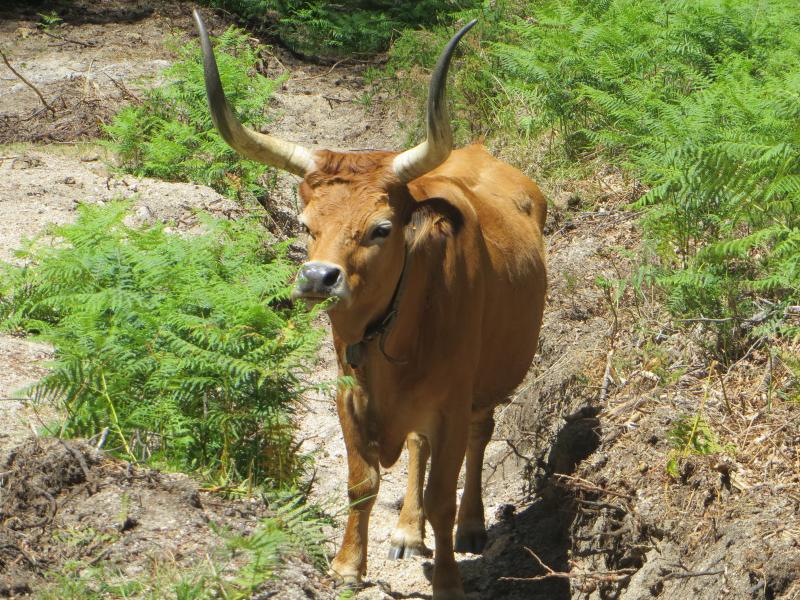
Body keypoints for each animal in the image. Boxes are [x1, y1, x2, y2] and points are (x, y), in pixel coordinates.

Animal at [195, 10, 548, 600]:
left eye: (382, 228)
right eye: (306, 226)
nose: (318, 277)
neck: (395, 329)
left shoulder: (452, 402)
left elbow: (443, 494)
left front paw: (448, 580)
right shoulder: (348, 392)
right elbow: (362, 481)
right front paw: (347, 565)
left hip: (487, 384)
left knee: (480, 437)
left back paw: (472, 525)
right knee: (416, 448)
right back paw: (406, 530)